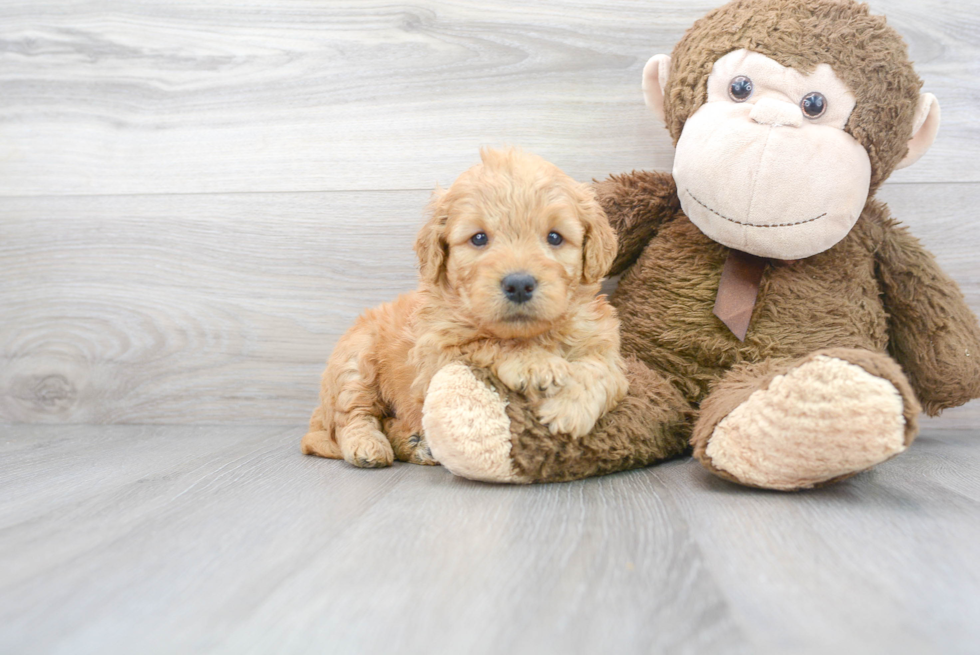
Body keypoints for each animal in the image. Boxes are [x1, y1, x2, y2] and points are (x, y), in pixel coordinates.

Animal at [298, 148, 632, 466]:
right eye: (479, 238)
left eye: (554, 237)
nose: (519, 284)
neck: (533, 334)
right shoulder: (435, 359)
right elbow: (487, 343)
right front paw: (535, 364)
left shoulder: (606, 348)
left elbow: (601, 371)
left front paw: (569, 407)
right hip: (354, 360)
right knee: (351, 417)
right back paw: (368, 446)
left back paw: (417, 445)